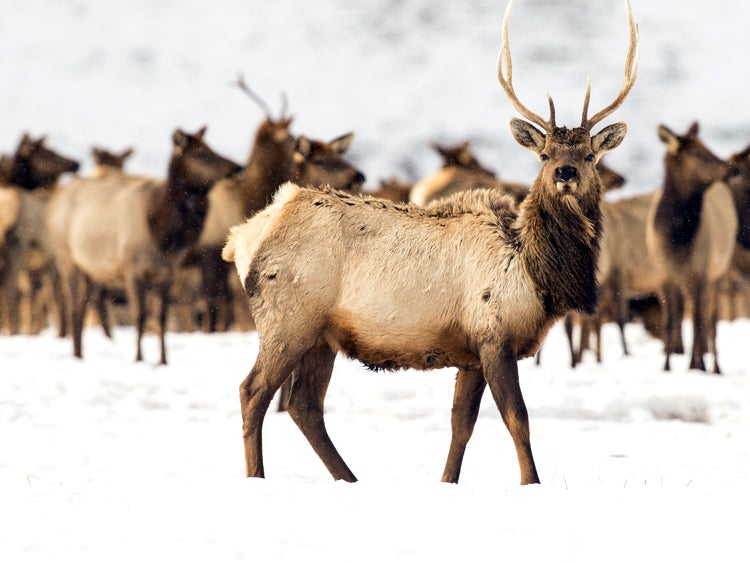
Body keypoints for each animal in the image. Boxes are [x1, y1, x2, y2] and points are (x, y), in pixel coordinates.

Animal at [47, 126, 241, 366]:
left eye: (211, 148)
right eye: (201, 154)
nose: (237, 166)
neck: (165, 236)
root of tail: (54, 200)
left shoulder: (167, 272)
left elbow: (161, 317)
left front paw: (163, 360)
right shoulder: (132, 269)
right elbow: (139, 316)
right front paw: (139, 358)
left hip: (91, 269)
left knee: (85, 305)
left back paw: (80, 352)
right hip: (66, 256)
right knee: (73, 306)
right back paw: (75, 355)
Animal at [223, 0, 640, 484]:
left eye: (590, 154)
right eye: (544, 154)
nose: (565, 173)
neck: (536, 276)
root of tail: (241, 237)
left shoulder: (471, 353)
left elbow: (462, 424)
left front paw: (447, 481)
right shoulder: (493, 334)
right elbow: (517, 419)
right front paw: (531, 482)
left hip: (320, 335)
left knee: (303, 405)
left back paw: (350, 479)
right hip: (287, 319)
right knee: (253, 392)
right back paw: (259, 476)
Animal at [648, 122, 740, 374]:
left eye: (708, 149)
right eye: (699, 154)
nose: (733, 170)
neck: (677, 238)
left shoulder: (700, 273)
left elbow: (699, 322)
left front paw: (695, 367)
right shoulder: (663, 275)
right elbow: (670, 322)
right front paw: (666, 366)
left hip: (718, 273)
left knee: (711, 321)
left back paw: (714, 367)